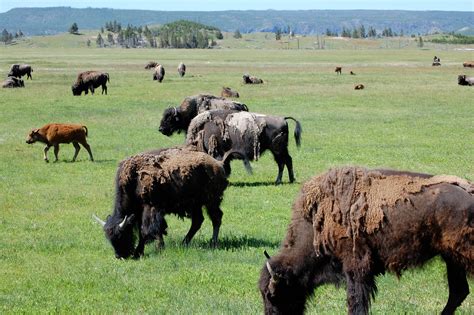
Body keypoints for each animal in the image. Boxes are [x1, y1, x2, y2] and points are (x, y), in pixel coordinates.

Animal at [92, 146, 248, 260]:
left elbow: (148, 230)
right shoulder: (141, 212)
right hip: (196, 204)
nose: (120, 255)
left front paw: (154, 249)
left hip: (211, 201)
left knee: (216, 218)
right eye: (108, 238)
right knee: (198, 221)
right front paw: (143, 250)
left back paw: (213, 243)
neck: (133, 180)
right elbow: (148, 230)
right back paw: (184, 243)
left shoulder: (151, 208)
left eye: (122, 234)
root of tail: (218, 163)